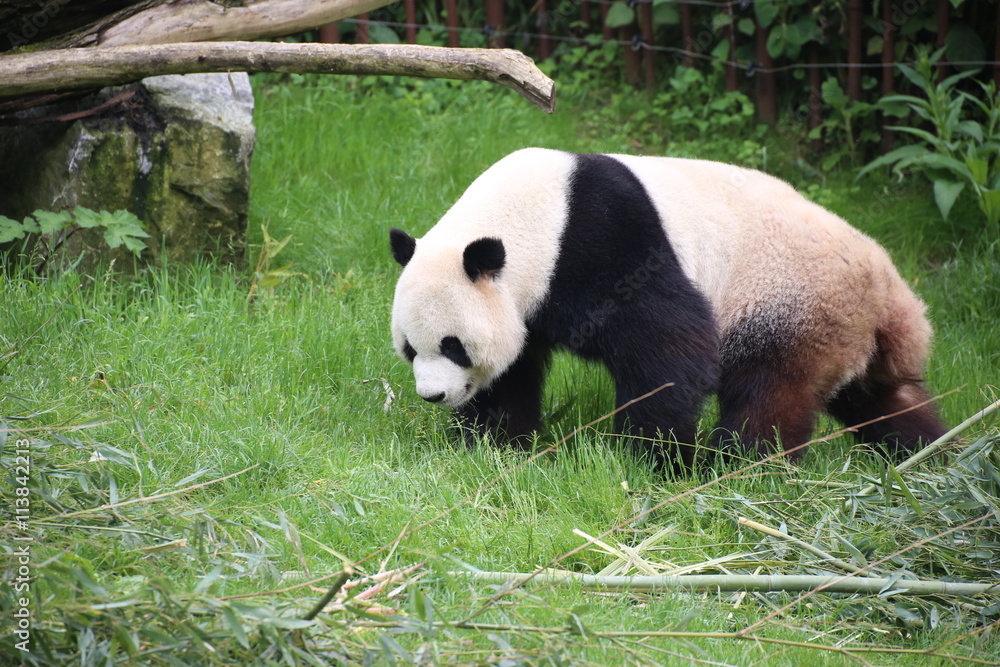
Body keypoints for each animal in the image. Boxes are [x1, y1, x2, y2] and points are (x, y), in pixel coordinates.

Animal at [389, 148, 946, 467]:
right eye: (411, 350)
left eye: (454, 346)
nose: (433, 396)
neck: (537, 217)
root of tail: (890, 291)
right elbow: (513, 369)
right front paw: (493, 441)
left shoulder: (604, 242)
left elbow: (669, 344)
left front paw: (650, 455)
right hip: (847, 329)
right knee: (880, 397)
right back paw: (929, 453)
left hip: (790, 299)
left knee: (770, 389)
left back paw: (739, 464)